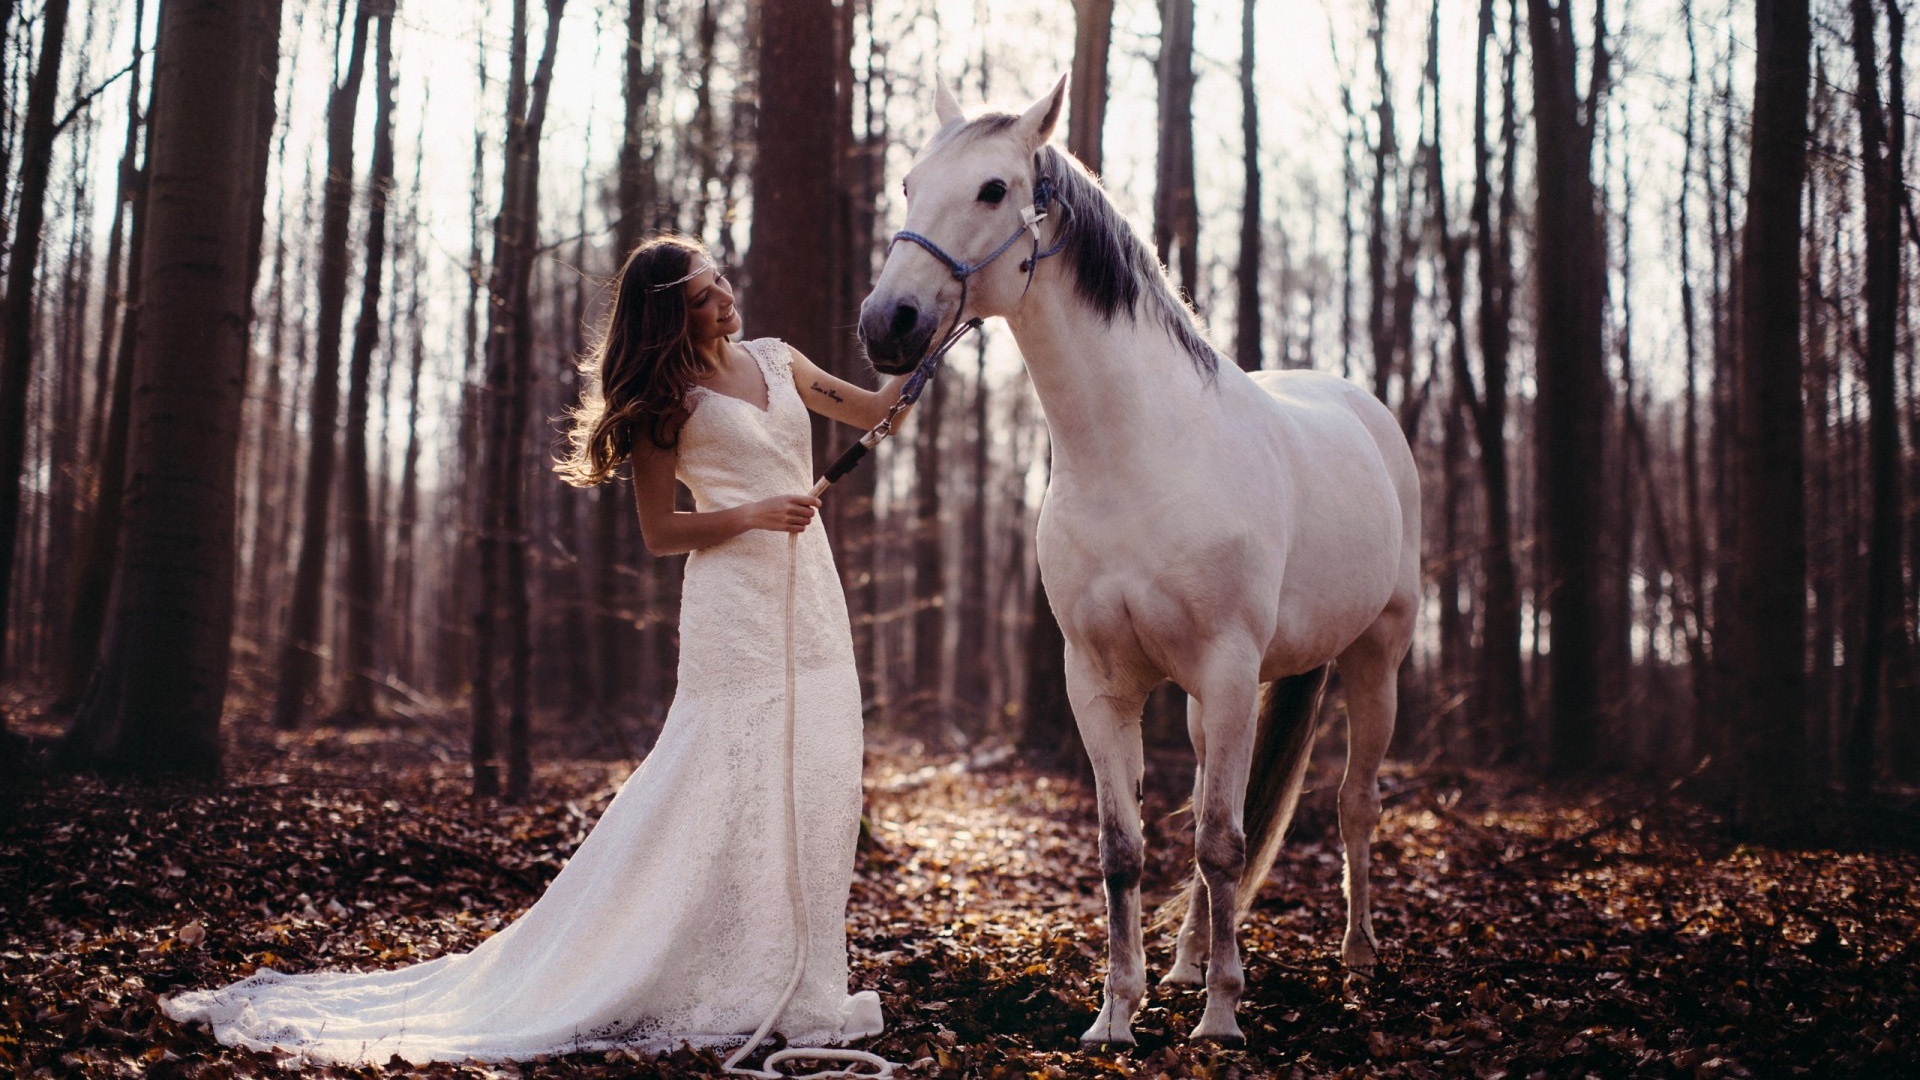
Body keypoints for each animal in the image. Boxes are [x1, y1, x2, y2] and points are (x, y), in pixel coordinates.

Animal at [864, 82, 1420, 1045]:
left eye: (993, 188)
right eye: (907, 183)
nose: (886, 323)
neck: (1135, 453)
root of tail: (1366, 412)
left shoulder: (1229, 670)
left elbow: (1224, 843)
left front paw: (1222, 1018)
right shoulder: (1100, 680)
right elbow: (1126, 848)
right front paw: (1117, 1014)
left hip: (1372, 659)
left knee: (1354, 803)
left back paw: (1355, 959)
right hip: (1208, 705)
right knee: (1212, 803)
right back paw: (1190, 961)